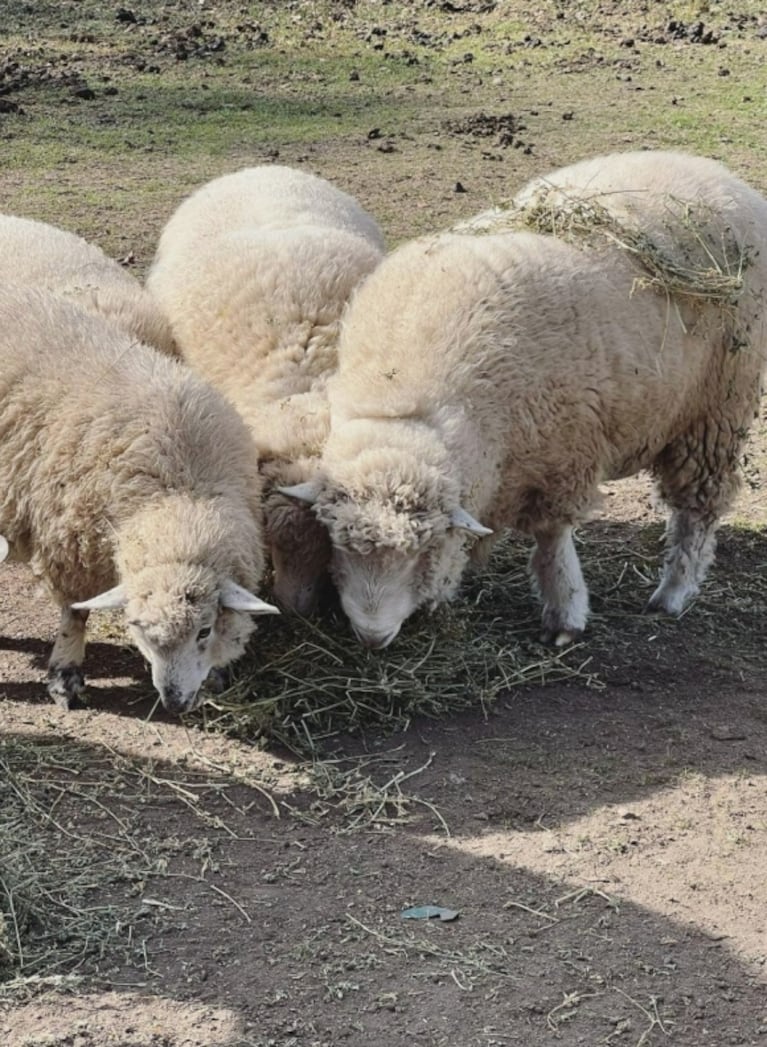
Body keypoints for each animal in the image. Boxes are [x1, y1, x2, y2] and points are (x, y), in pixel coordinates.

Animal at [0, 282, 280, 716]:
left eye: (204, 630)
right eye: (139, 630)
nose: (175, 703)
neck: (182, 496)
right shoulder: (71, 549)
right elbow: (74, 614)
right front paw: (65, 674)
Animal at [278, 149, 765, 644]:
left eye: (426, 546)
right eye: (336, 541)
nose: (372, 636)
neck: (401, 403)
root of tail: (715, 173)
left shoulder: (564, 454)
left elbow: (552, 540)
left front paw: (565, 612)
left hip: (717, 407)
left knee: (698, 509)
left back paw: (674, 591)